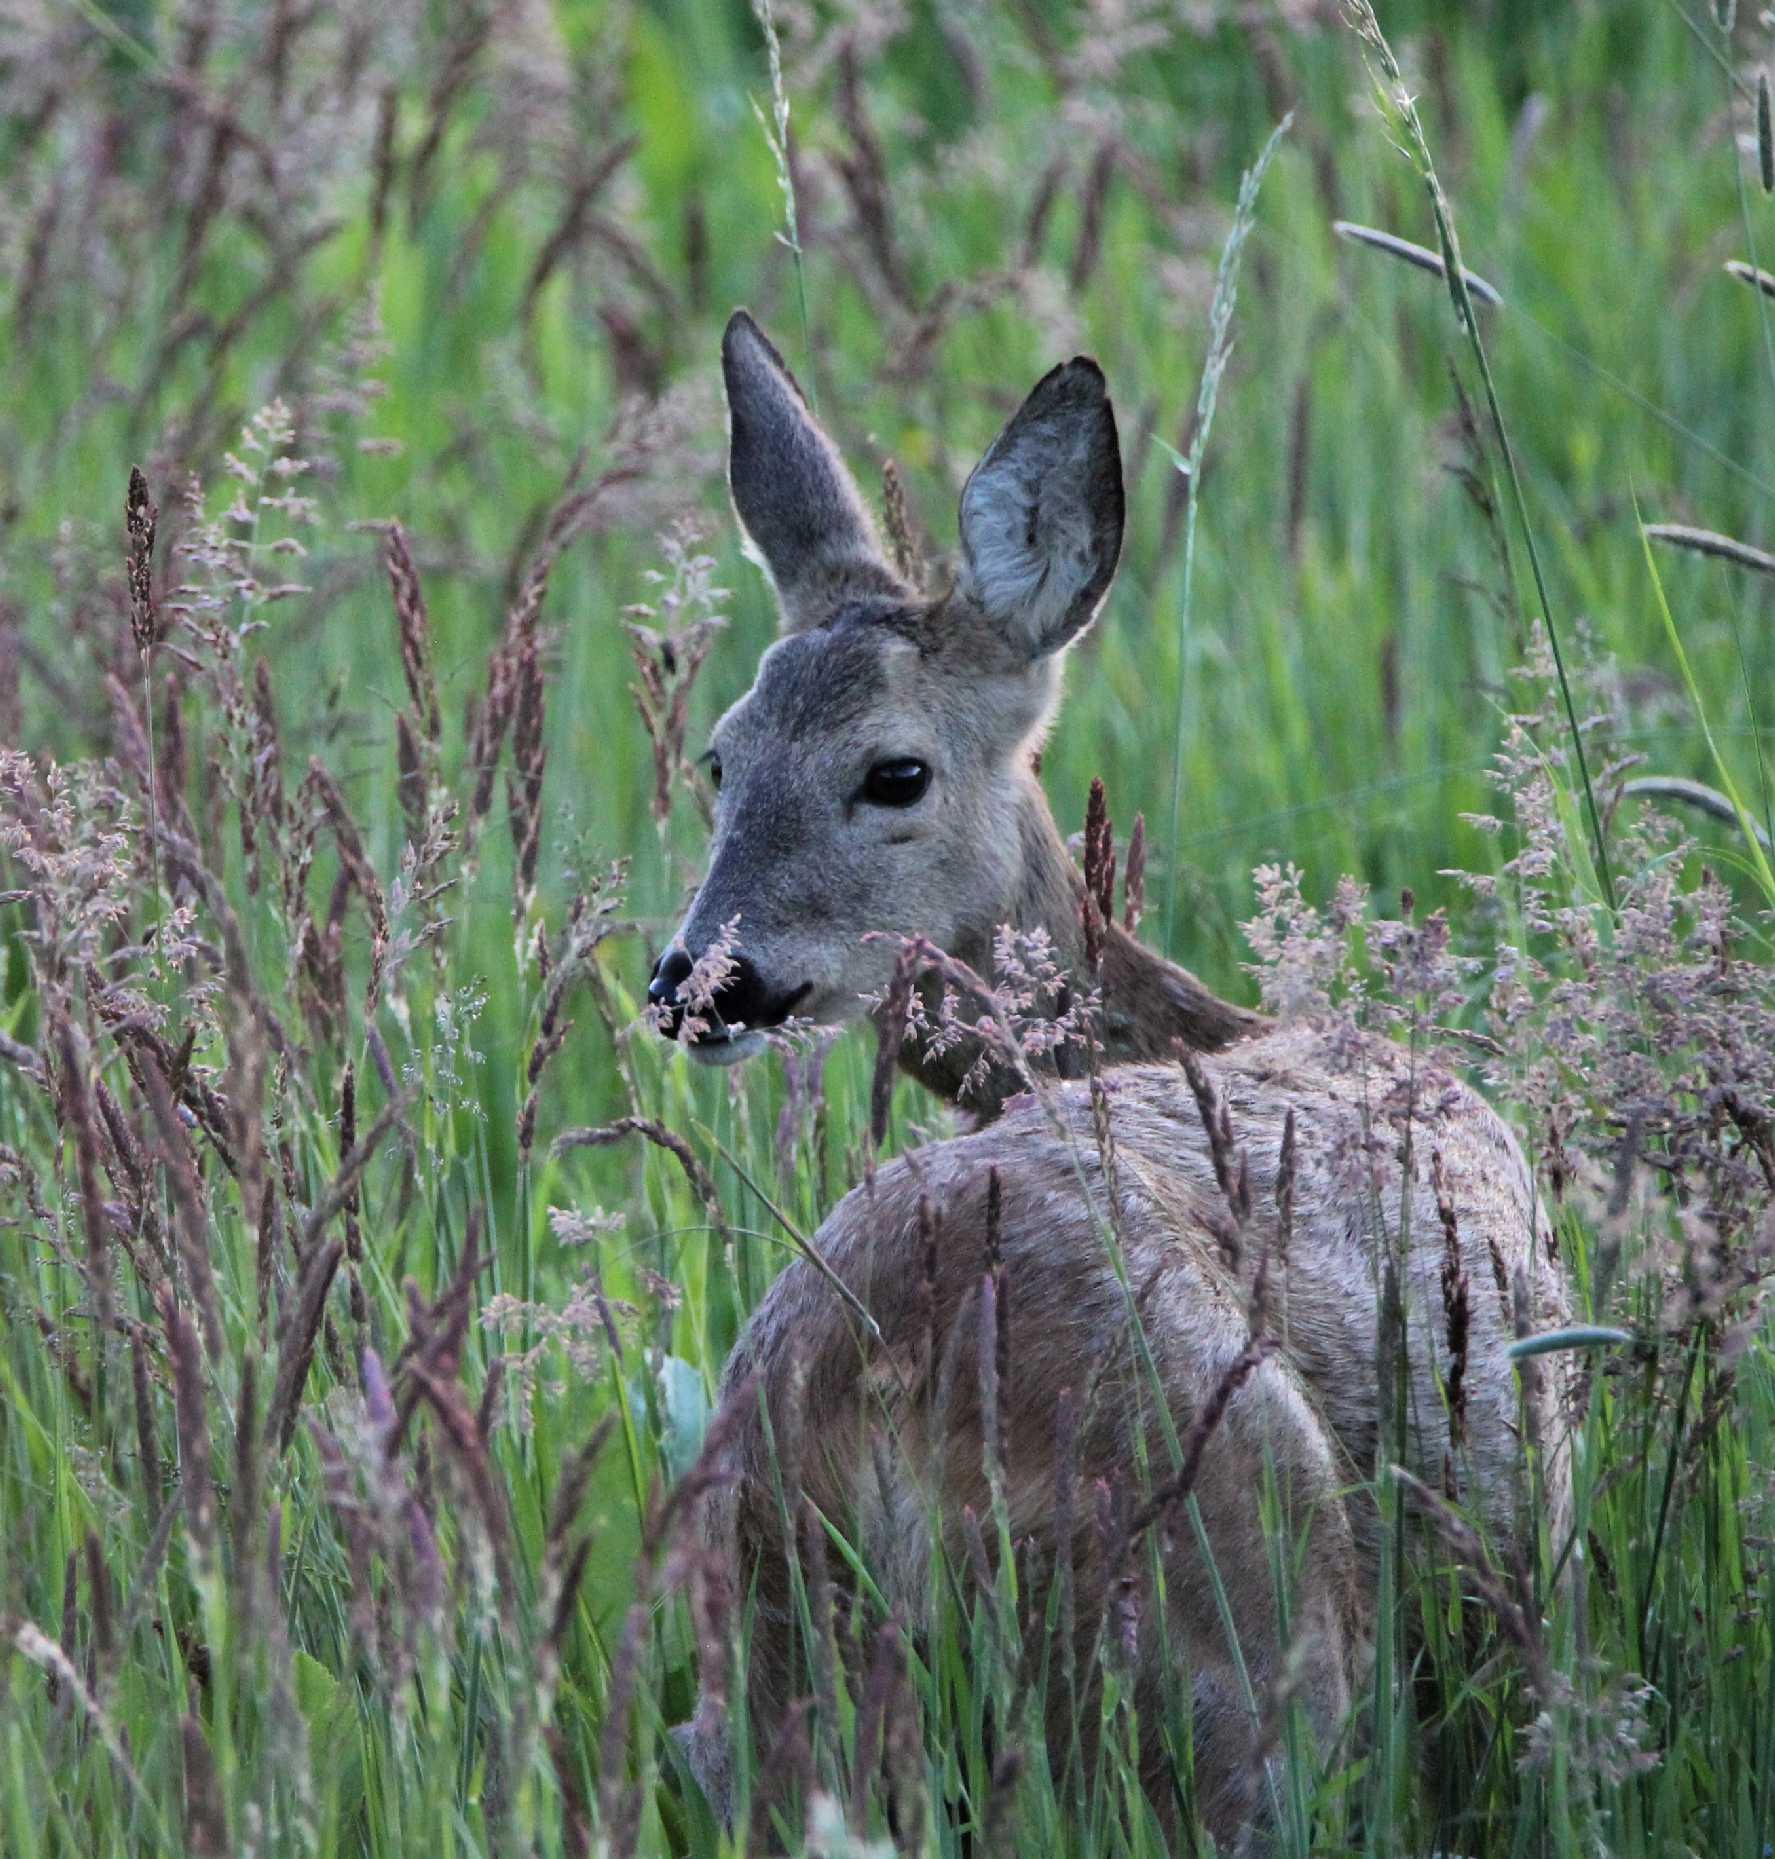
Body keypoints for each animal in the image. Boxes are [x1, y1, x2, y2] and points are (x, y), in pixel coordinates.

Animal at [657, 312, 1576, 1851]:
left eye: (891, 771)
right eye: (722, 761)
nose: (697, 980)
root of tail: (889, 1387)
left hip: (763, 1675)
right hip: (1251, 1631)